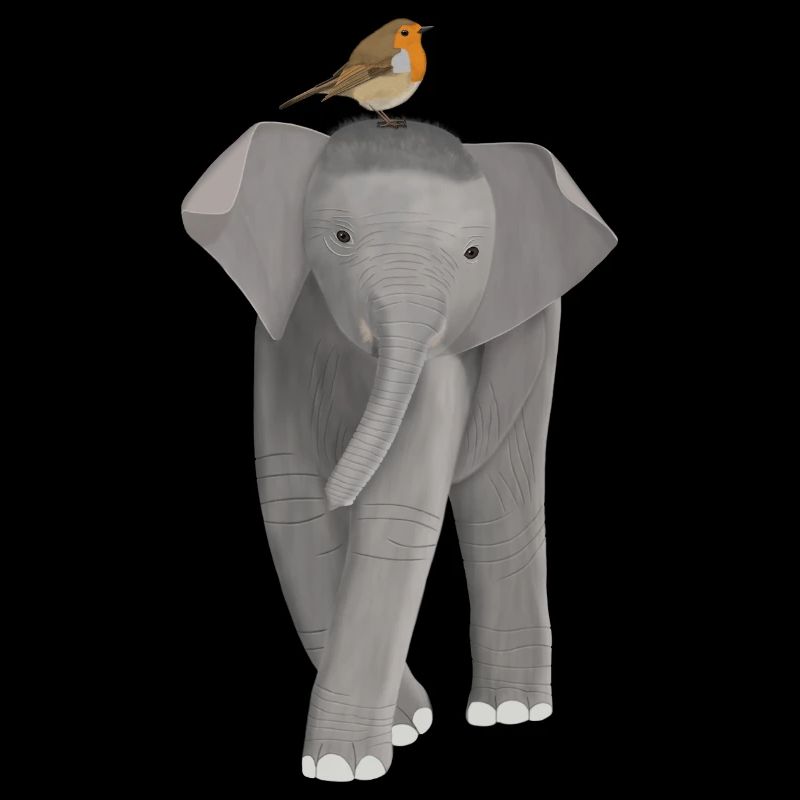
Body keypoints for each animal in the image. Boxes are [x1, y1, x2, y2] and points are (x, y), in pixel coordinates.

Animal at [181, 119, 617, 782]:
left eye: (473, 255)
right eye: (340, 238)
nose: (340, 488)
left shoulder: (443, 359)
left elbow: (395, 513)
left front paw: (344, 766)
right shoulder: (280, 343)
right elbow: (292, 506)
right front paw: (405, 726)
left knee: (504, 494)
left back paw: (511, 712)